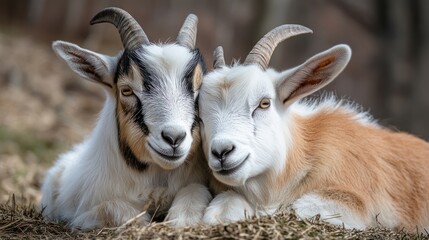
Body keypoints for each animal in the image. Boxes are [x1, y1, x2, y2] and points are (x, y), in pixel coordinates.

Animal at [41, 7, 211, 229]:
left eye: (199, 89)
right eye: (126, 90)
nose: (174, 138)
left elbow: (194, 191)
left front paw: (181, 220)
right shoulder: (87, 213)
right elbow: (114, 208)